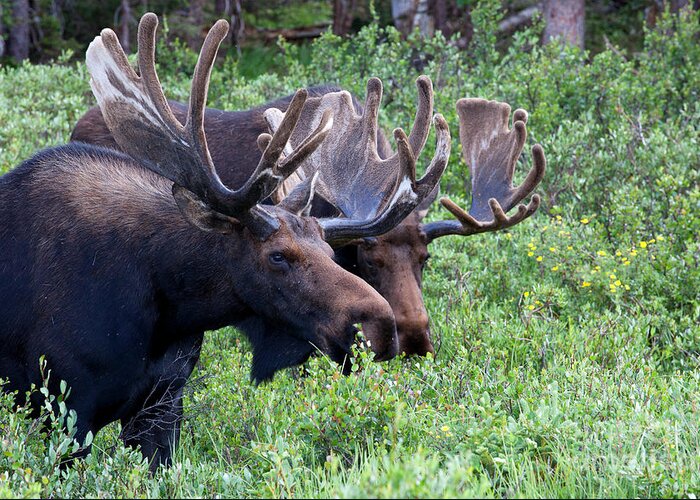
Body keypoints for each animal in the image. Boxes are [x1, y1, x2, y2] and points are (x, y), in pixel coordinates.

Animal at [0, 13, 448, 470]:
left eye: (330, 252)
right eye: (278, 256)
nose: (382, 327)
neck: (166, 301)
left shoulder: (164, 402)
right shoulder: (65, 409)